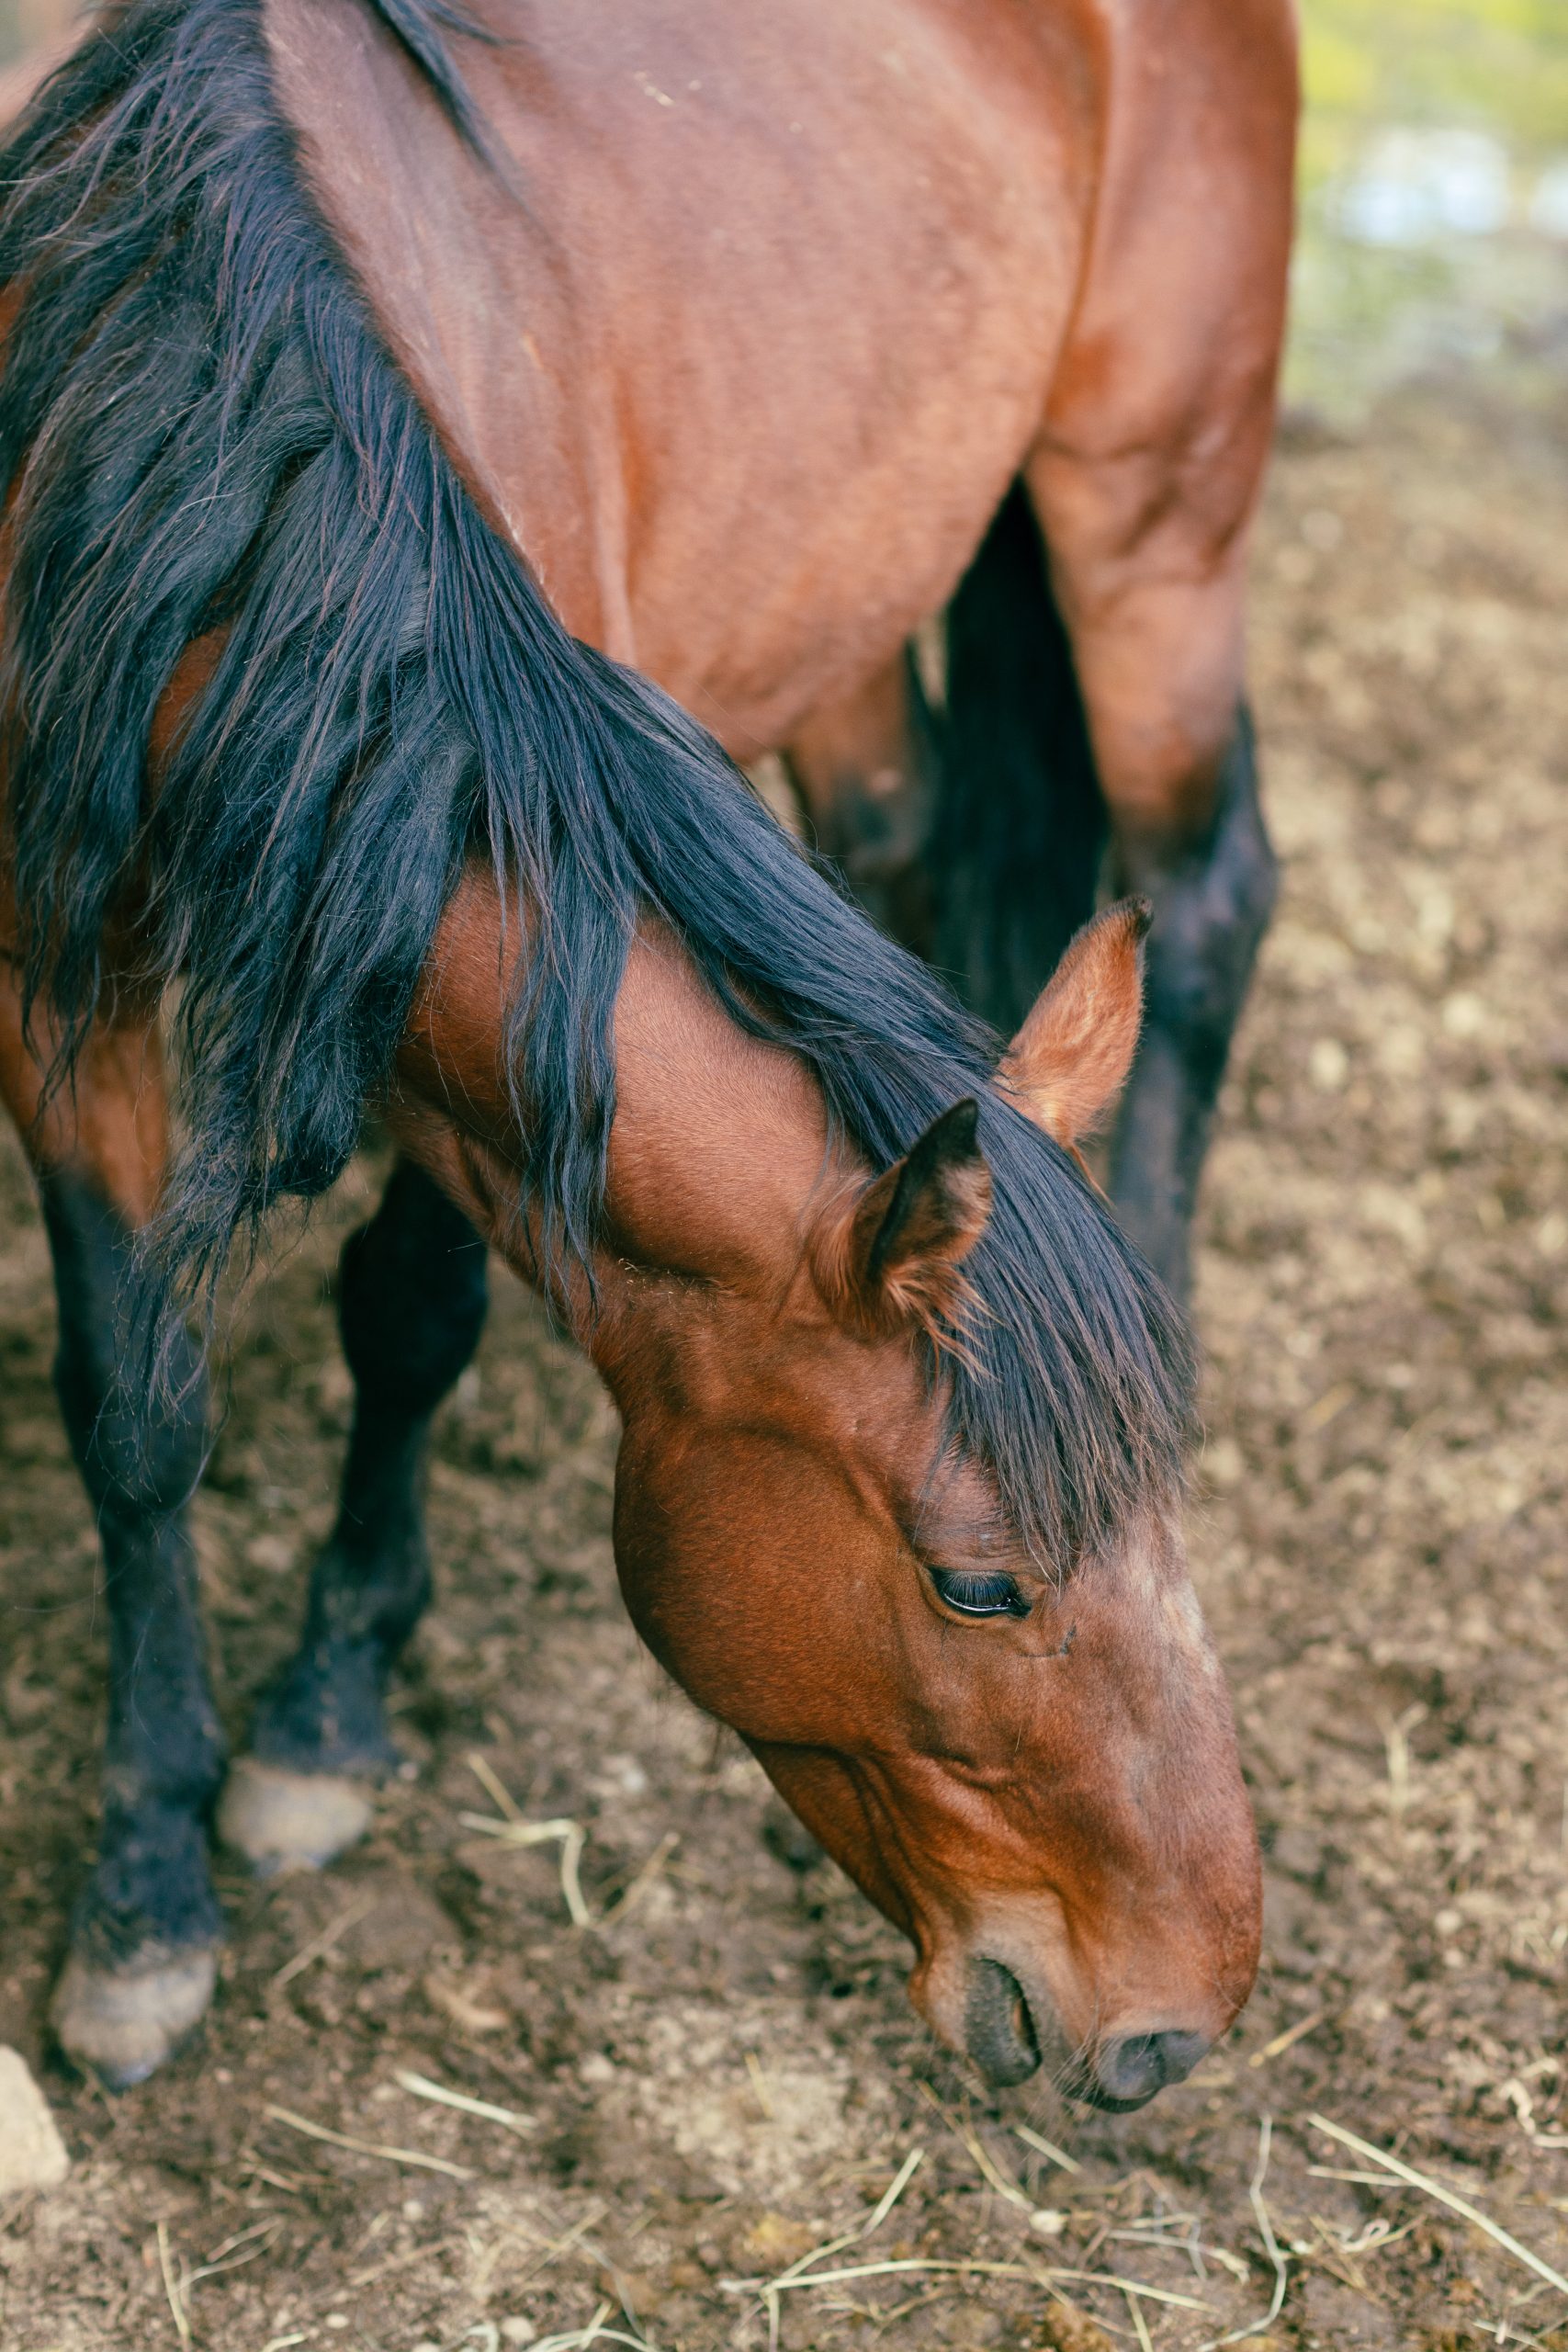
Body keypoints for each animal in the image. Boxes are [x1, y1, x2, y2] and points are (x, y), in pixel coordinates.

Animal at [0, 0, 1293, 2092]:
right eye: (980, 1579)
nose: (1175, 2028)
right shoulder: (59, 978)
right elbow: (135, 1415)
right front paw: (144, 1893)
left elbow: (410, 1318)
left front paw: (324, 1714)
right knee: (912, 826)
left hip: (1150, 505)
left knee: (1204, 882)